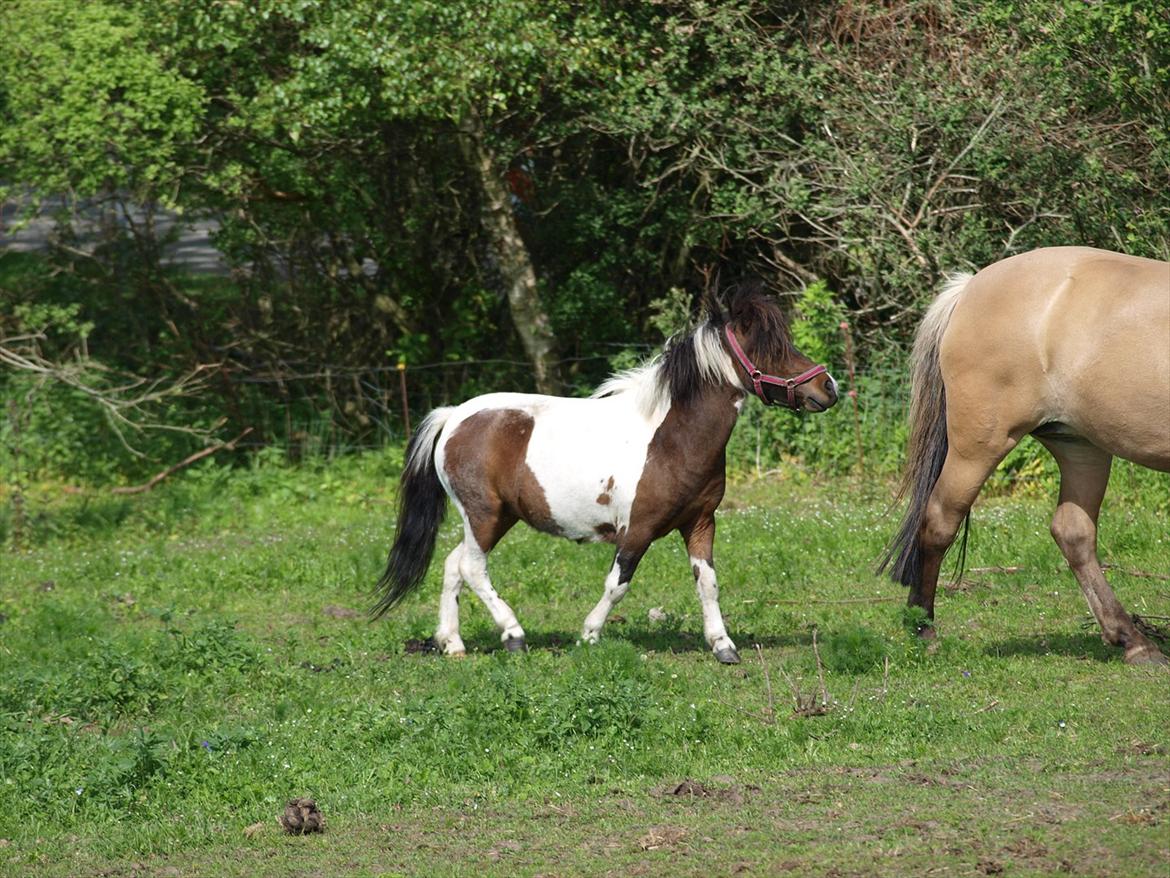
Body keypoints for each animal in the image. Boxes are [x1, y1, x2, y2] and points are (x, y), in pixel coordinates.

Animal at [372, 286, 839, 663]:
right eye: (770, 349)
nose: (828, 388)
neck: (672, 437)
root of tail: (453, 416)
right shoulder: (638, 530)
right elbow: (618, 584)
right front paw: (589, 635)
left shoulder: (700, 523)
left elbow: (708, 583)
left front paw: (723, 646)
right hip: (484, 515)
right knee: (472, 568)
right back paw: (513, 635)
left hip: (496, 518)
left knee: (454, 564)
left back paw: (452, 643)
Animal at [880, 246, 1170, 665]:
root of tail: (968, 289)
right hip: (979, 446)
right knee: (938, 521)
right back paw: (924, 628)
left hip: (1081, 448)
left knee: (1073, 533)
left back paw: (1132, 640)